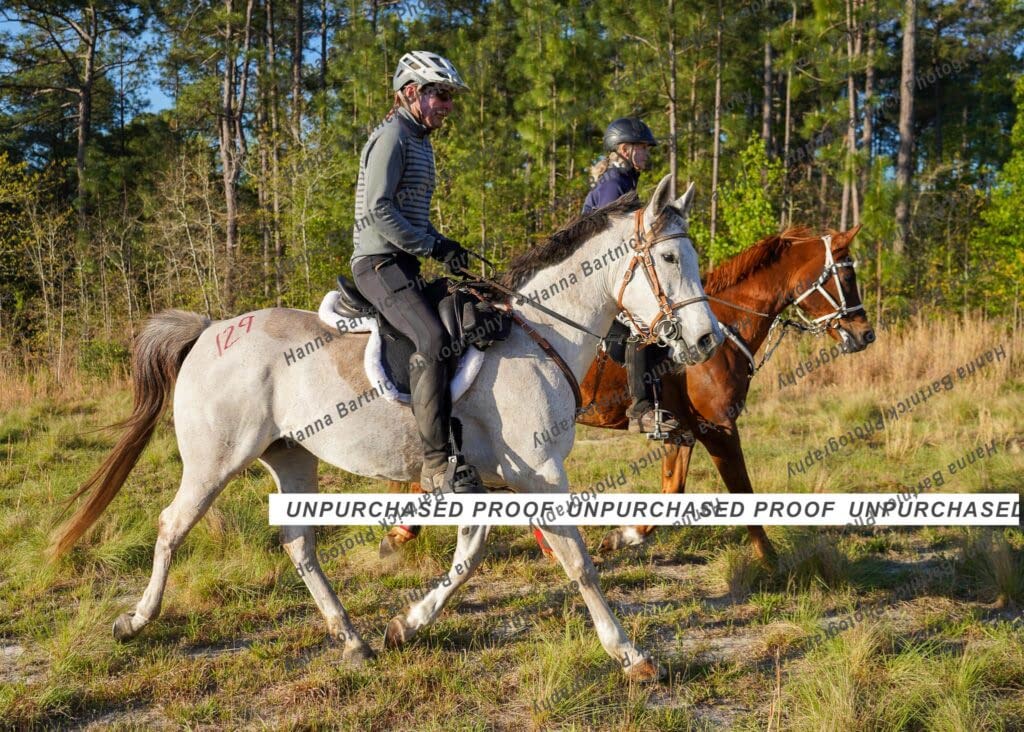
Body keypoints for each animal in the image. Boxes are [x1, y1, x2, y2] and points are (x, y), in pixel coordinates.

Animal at [49, 174, 723, 681]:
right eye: (668, 258)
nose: (705, 342)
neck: (539, 332)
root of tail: (212, 329)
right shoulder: (540, 475)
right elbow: (577, 561)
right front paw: (630, 654)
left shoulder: (483, 480)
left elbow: (469, 557)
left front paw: (407, 624)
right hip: (215, 461)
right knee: (171, 526)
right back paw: (136, 621)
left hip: (291, 455)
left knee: (298, 543)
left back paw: (353, 639)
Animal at [591, 225, 874, 558]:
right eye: (847, 277)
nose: (866, 334)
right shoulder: (719, 429)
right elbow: (742, 492)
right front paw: (770, 562)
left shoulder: (683, 430)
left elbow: (672, 491)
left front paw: (622, 536)